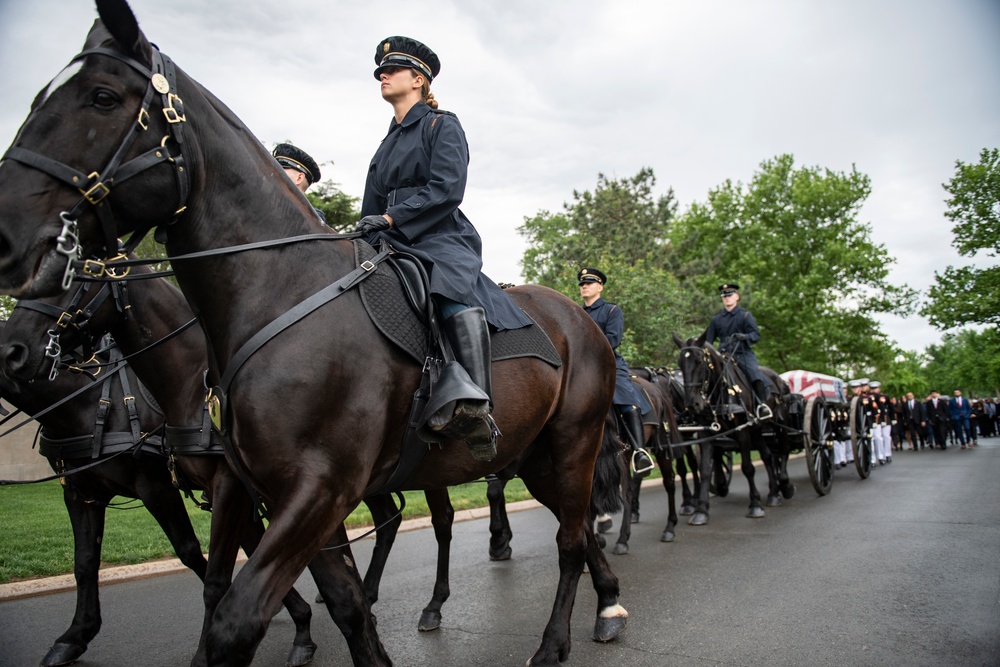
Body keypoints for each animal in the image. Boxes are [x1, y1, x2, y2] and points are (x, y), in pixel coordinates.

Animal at [0, 2, 624, 664]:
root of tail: (580, 318)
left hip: (573, 444)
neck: (277, 290)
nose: (14, 351)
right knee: (576, 530)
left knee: (568, 539)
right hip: (534, 456)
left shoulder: (314, 489)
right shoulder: (273, 492)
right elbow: (336, 604)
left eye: (101, 97)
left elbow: (234, 615)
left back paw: (555, 641)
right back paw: (607, 603)